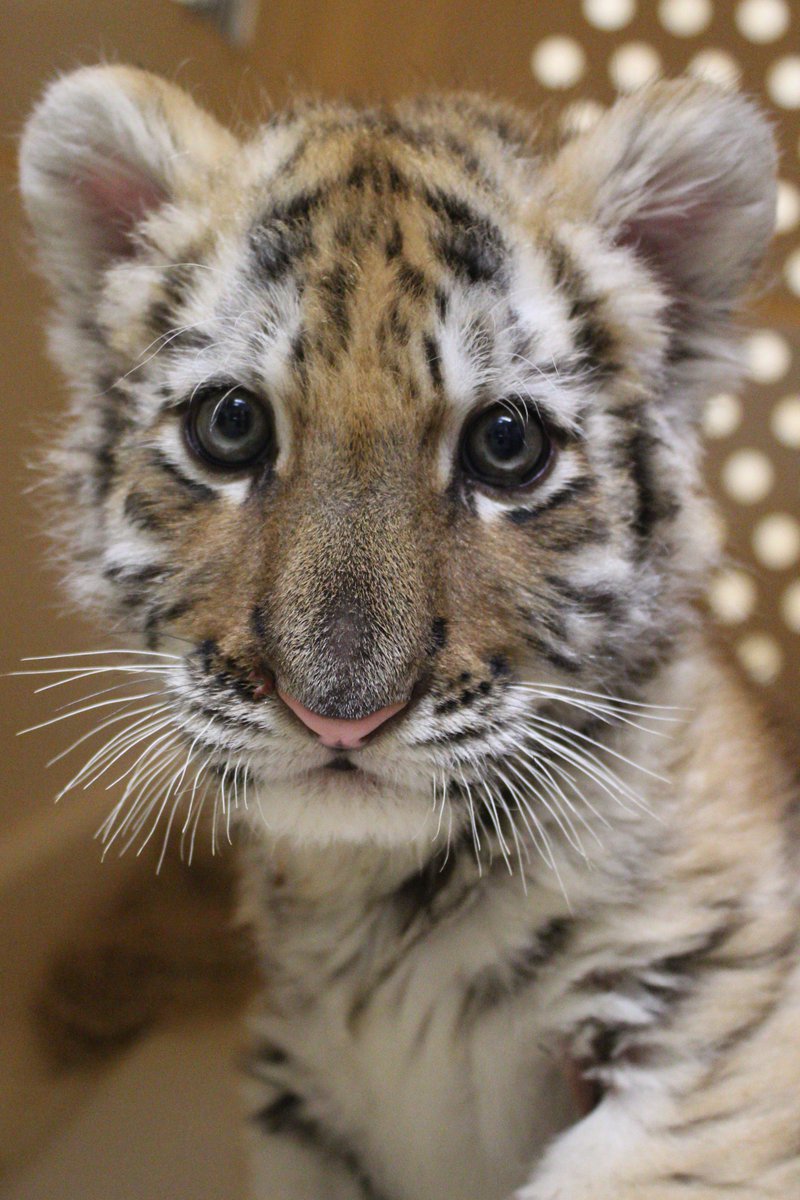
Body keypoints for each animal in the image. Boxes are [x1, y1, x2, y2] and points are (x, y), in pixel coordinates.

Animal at [19, 65, 800, 1199]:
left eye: (507, 446)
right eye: (230, 427)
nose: (337, 713)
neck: (376, 915)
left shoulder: (718, 1042)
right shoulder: (292, 1097)